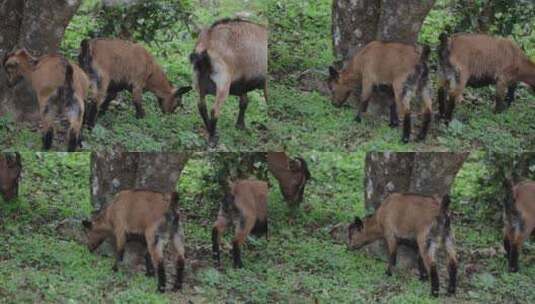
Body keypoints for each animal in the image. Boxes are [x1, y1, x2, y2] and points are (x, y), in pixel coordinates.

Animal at [191, 18, 270, 147]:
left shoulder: (242, 83)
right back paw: (212, 139)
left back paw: (211, 131)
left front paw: (240, 126)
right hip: (223, 82)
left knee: (201, 106)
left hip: (198, 80)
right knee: (214, 110)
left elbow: (244, 102)